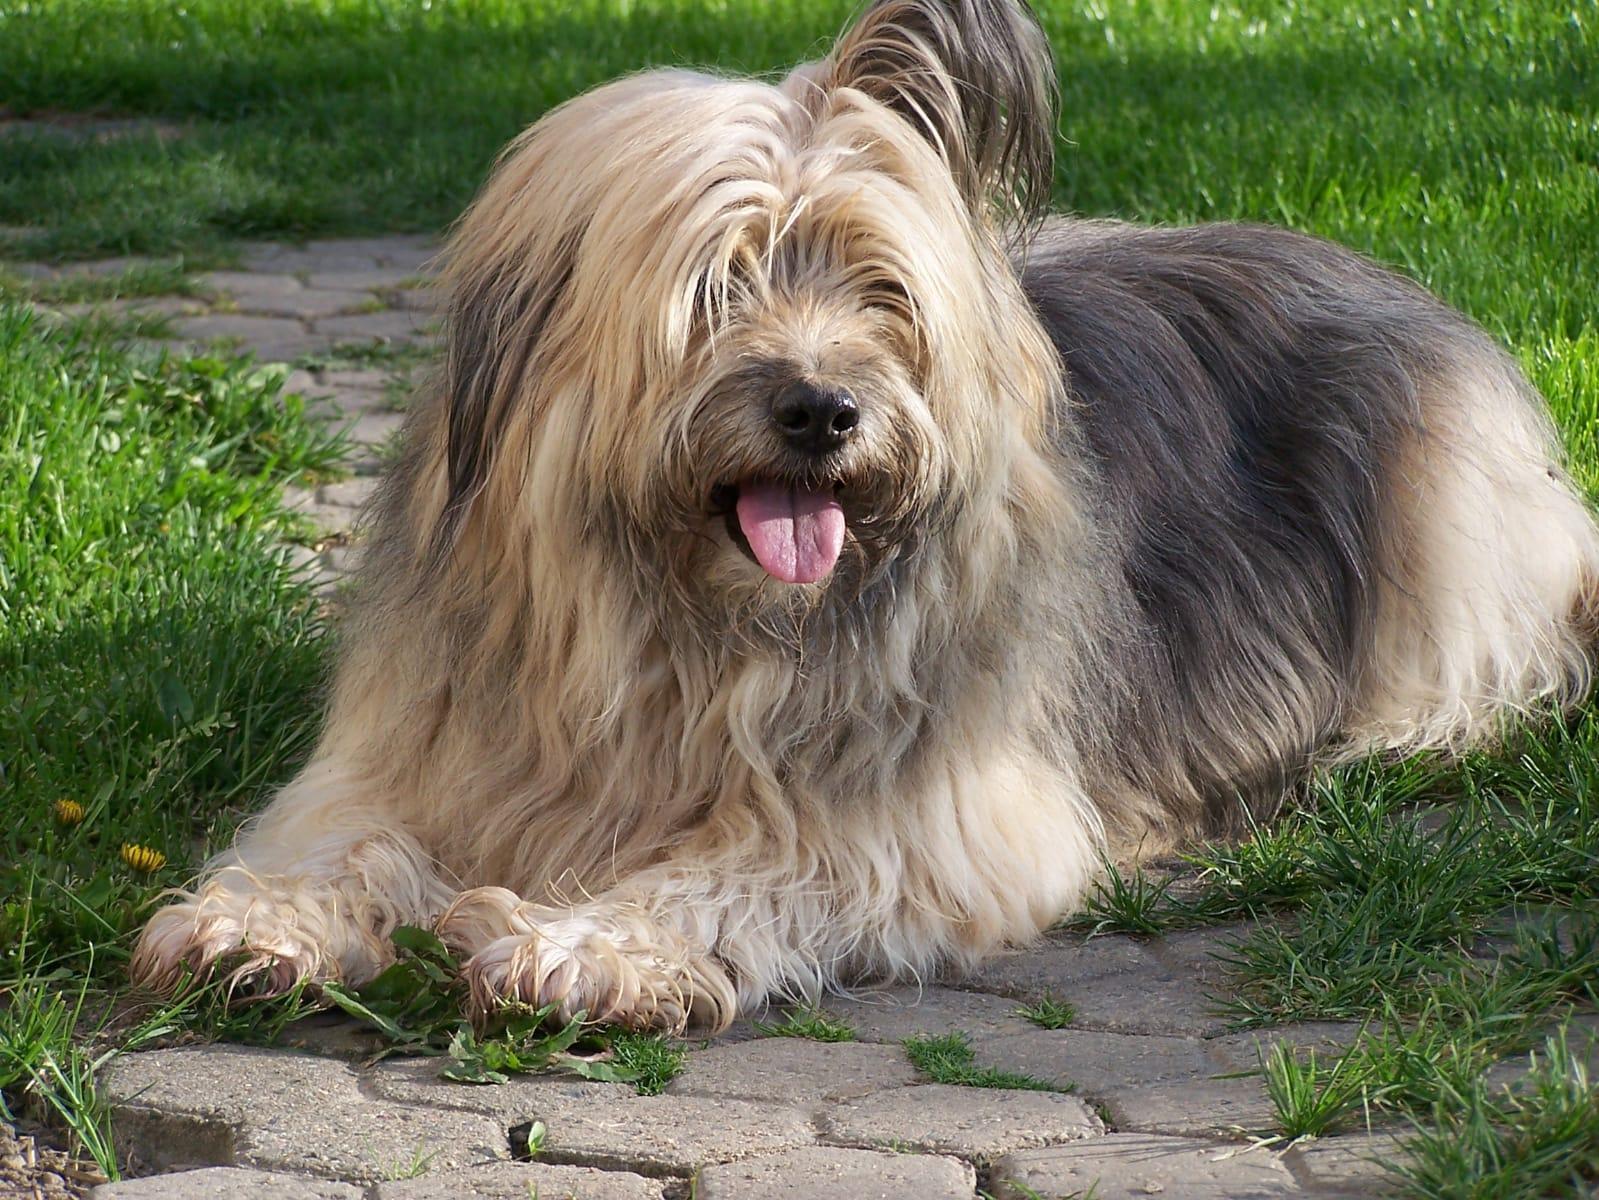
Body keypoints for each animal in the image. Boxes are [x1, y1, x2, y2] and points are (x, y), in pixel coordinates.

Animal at [133, 0, 1599, 1032]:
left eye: (881, 289)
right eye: (718, 285)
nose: (822, 410)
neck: (689, 633)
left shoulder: (937, 814)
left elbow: (759, 861)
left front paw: (587, 947)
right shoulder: (419, 746)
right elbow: (344, 830)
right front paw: (261, 925)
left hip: (1448, 543)